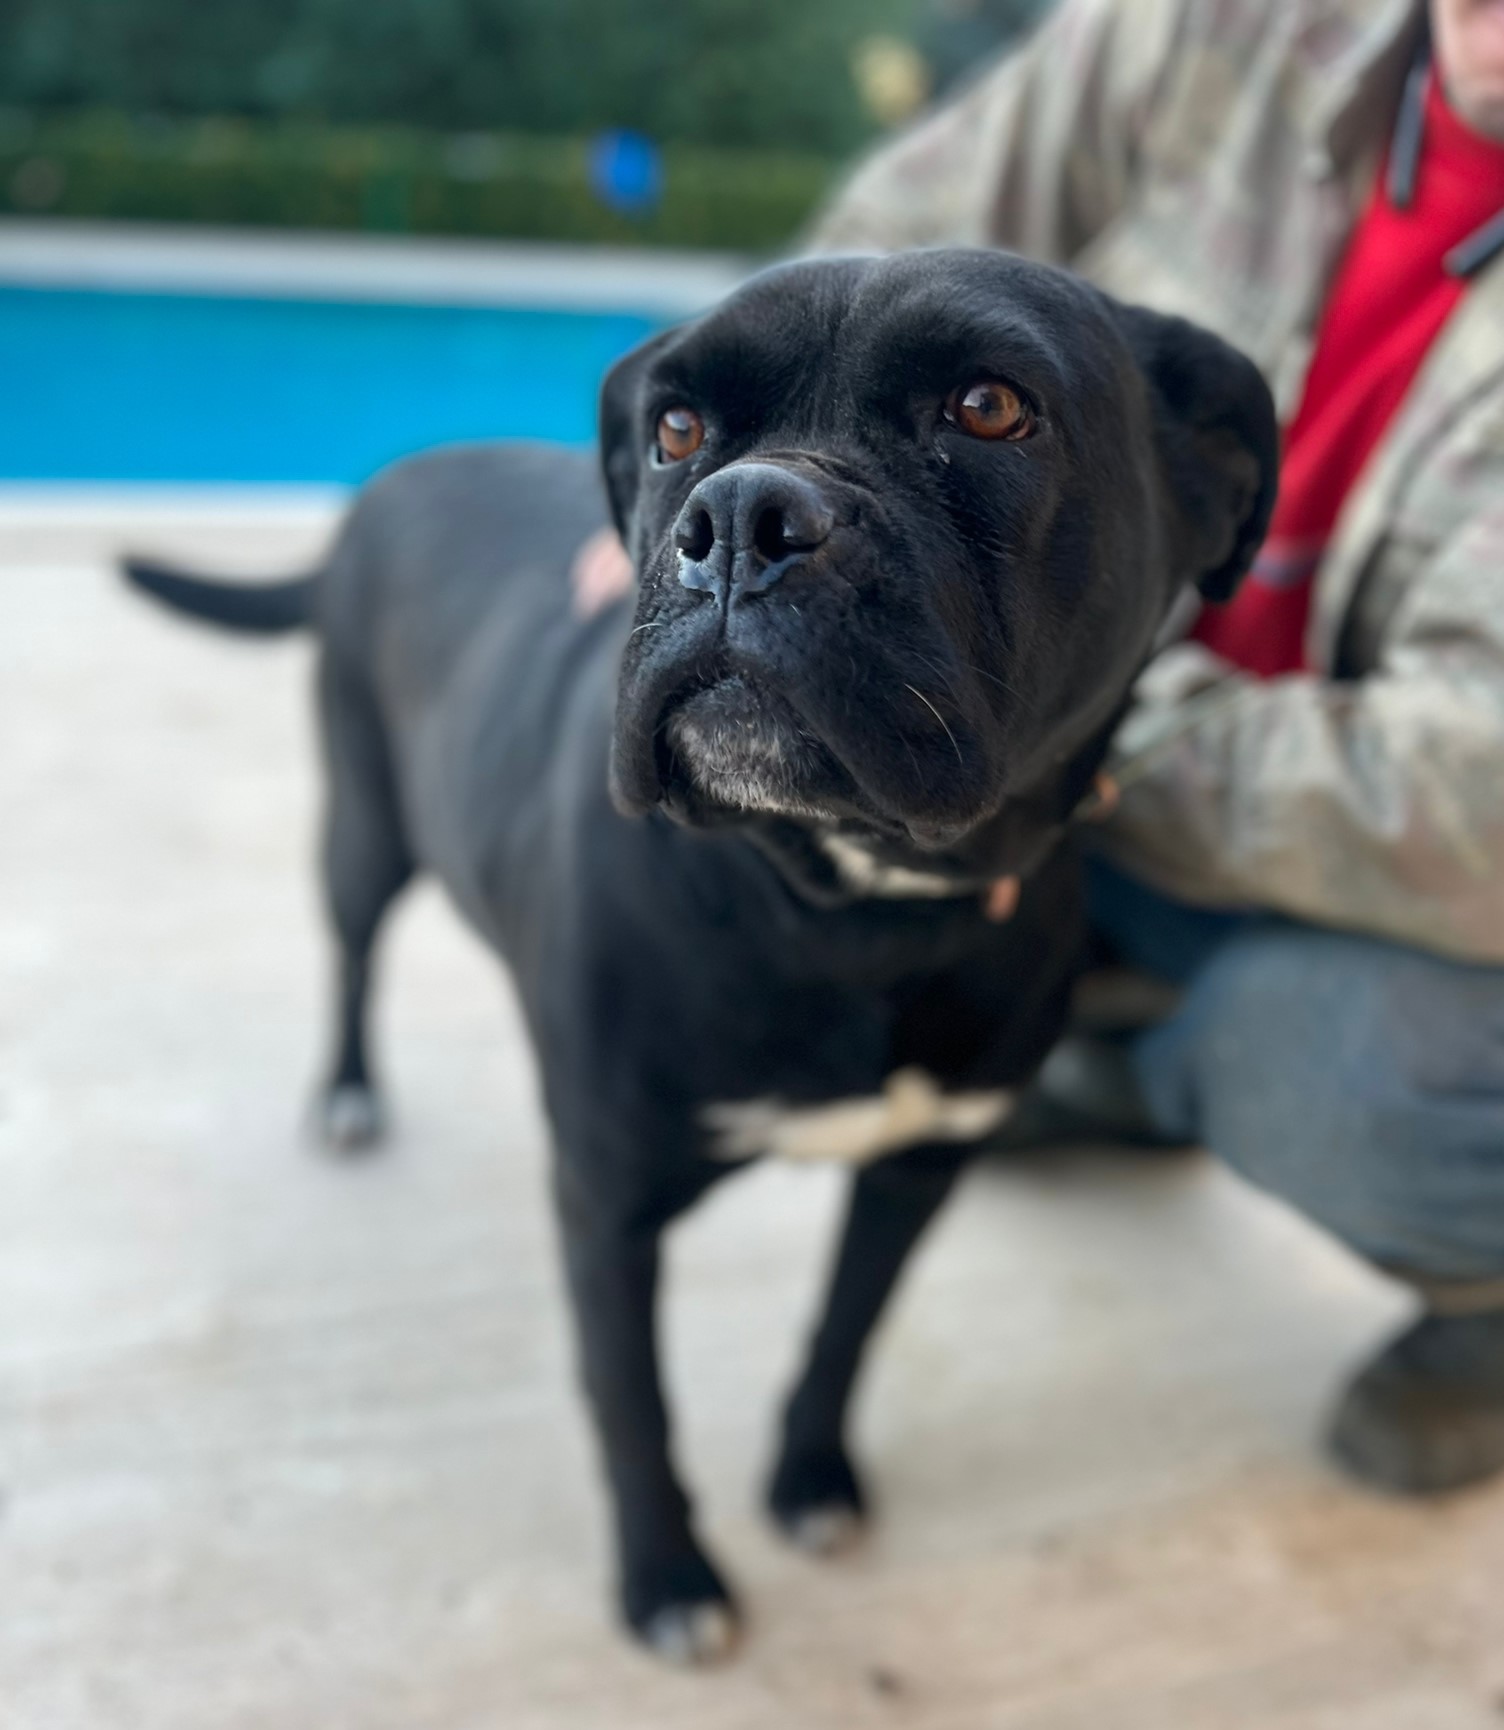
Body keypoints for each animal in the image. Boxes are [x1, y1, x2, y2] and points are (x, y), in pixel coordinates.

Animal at [125, 248, 1276, 1664]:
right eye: (676, 429)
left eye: (990, 406)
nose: (740, 515)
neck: (858, 907)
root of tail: (392, 479)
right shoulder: (608, 1200)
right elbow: (631, 1402)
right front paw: (667, 1576)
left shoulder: (916, 1170)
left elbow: (845, 1327)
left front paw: (811, 1476)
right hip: (363, 831)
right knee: (350, 958)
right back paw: (347, 1094)